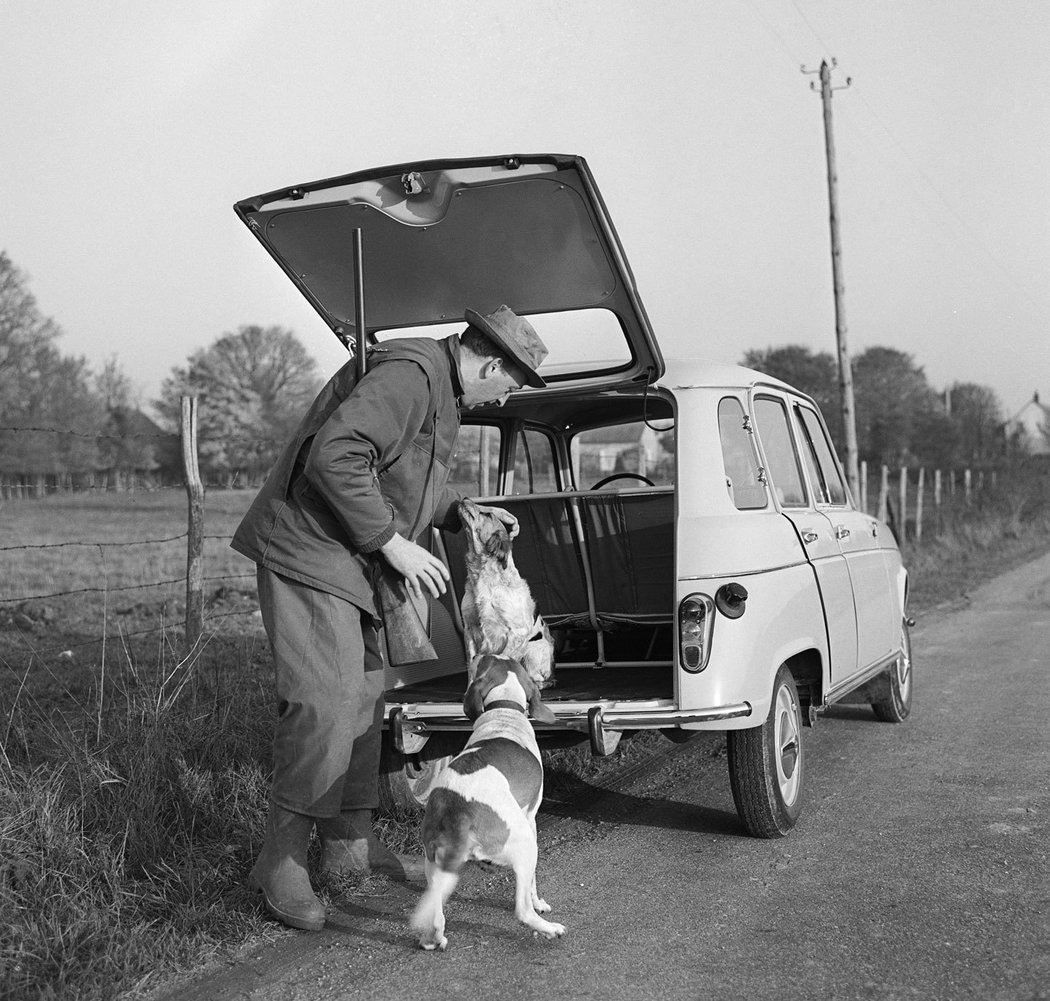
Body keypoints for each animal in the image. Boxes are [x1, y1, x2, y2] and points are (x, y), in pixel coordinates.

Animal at [409, 651, 567, 949]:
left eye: (486, 661)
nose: (478, 653)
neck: (503, 710)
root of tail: (457, 810)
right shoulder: (531, 818)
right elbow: (532, 886)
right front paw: (539, 903)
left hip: (432, 863)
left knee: (435, 912)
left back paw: (432, 939)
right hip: (526, 845)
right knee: (522, 910)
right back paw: (549, 928)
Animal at [459, 497, 558, 693]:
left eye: (487, 513)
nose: (465, 498)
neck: (483, 576)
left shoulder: (517, 632)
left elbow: (502, 659)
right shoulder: (470, 628)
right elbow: (471, 666)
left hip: (533, 650)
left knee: (540, 679)